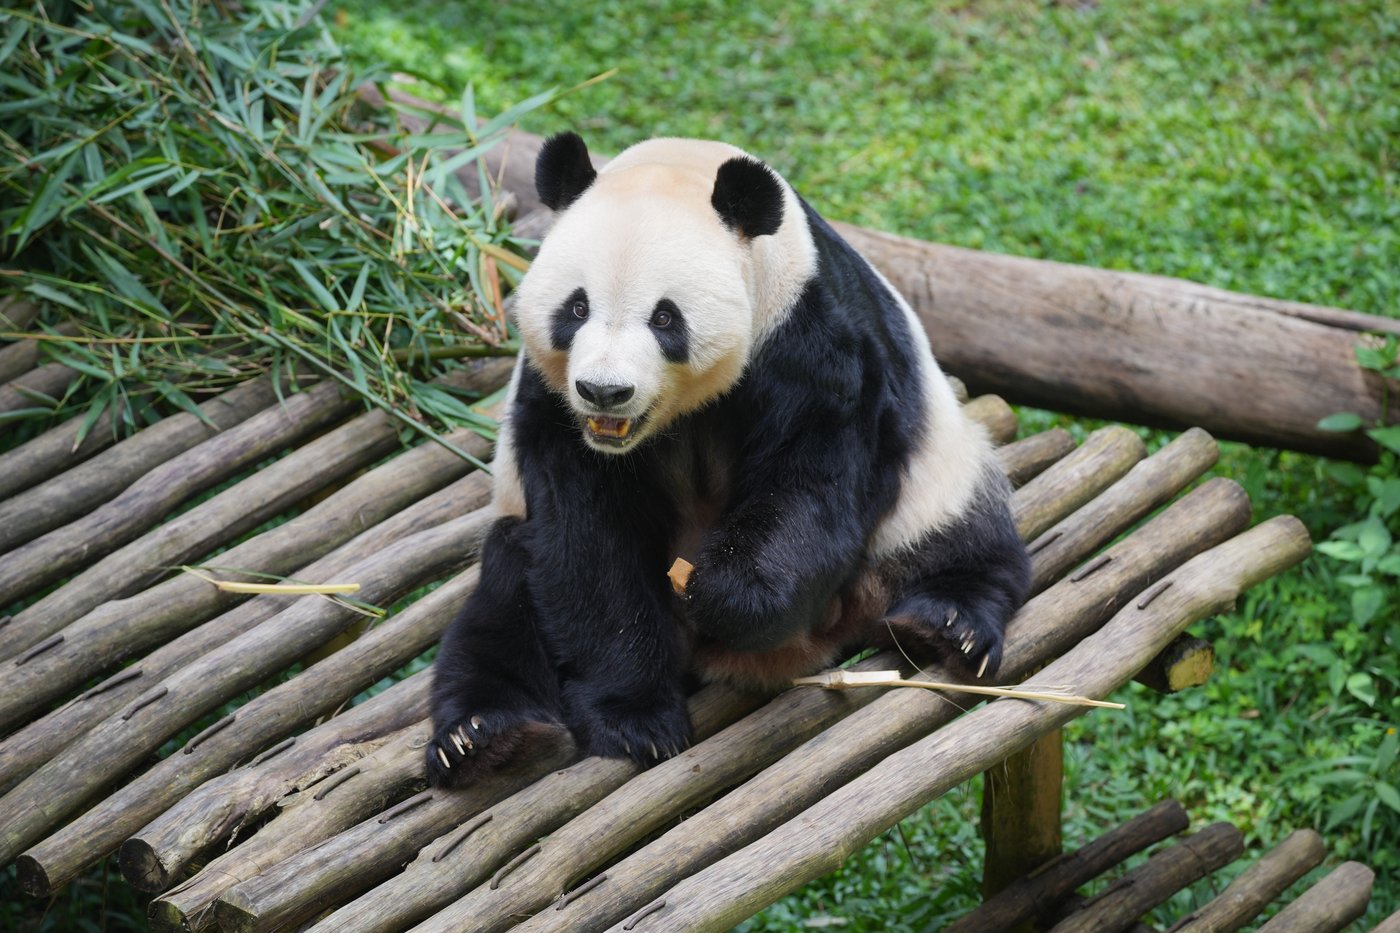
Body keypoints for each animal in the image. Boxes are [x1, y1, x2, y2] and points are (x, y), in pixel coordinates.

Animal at [426, 134, 1030, 787]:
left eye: (665, 317)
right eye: (576, 308)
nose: (604, 392)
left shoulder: (808, 334)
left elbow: (810, 481)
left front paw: (721, 591)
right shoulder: (553, 405)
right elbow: (588, 540)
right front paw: (636, 719)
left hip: (931, 478)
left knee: (962, 536)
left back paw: (948, 625)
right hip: (513, 541)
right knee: (502, 603)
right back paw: (482, 737)